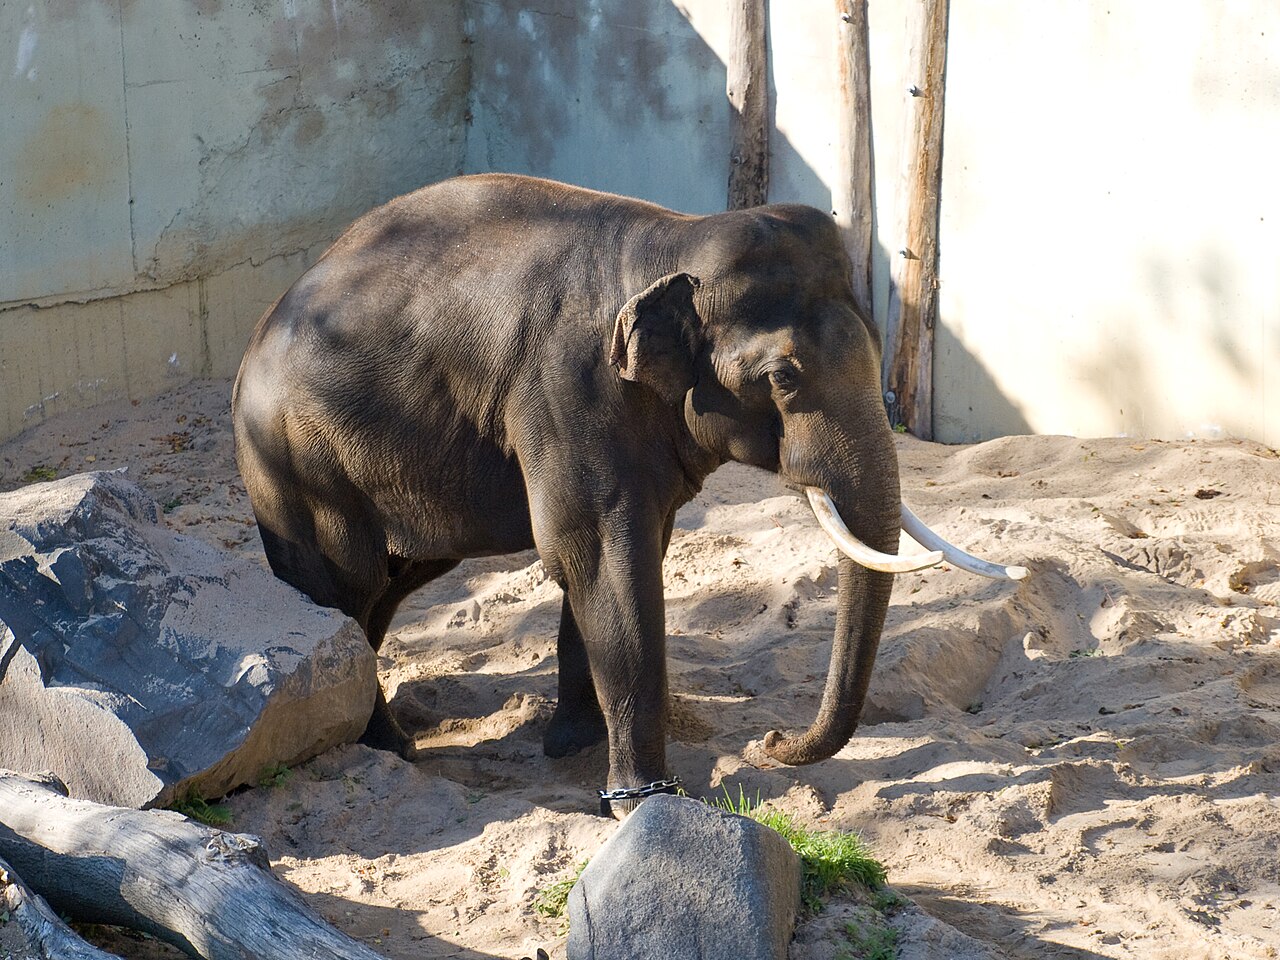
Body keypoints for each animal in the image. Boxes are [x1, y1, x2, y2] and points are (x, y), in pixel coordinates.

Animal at [232, 174, 1024, 815]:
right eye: (784, 377)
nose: (770, 739)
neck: (675, 239)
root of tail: (258, 333)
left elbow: (617, 557)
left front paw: (573, 745)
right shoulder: (567, 394)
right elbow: (598, 560)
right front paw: (642, 801)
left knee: (386, 588)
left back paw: (385, 740)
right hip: (297, 466)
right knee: (342, 588)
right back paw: (386, 747)